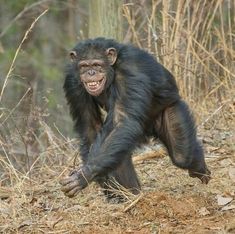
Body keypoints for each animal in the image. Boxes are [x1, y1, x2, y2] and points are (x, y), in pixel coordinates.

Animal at [59, 37, 210, 198]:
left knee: (182, 154)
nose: (91, 72)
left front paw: (84, 175)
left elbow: (123, 121)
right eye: (83, 66)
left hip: (173, 108)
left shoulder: (129, 72)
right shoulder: (72, 82)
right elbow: (91, 127)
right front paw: (100, 180)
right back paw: (130, 196)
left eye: (97, 65)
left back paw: (200, 168)